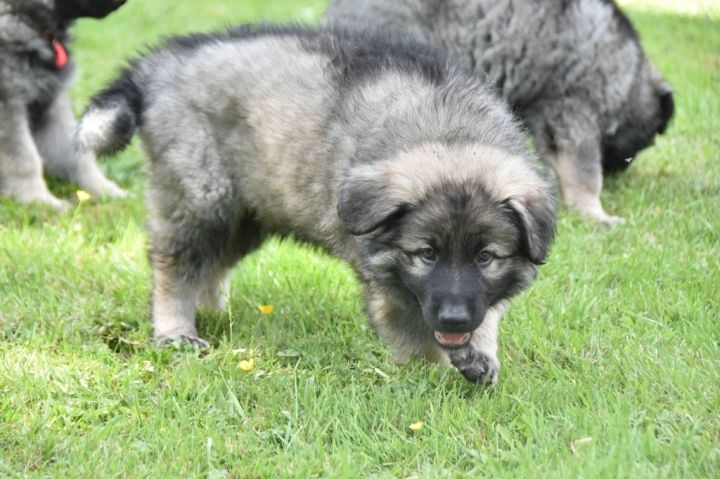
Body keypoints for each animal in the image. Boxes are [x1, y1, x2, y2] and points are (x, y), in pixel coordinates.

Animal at [0, 0, 126, 209]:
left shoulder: (54, 106)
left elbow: (76, 155)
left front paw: (105, 190)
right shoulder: (9, 107)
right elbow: (24, 159)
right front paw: (39, 200)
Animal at [76, 25, 556, 384]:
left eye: (486, 257)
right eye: (426, 254)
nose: (455, 319)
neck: (449, 132)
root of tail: (156, 66)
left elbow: (488, 309)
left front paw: (480, 354)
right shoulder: (385, 283)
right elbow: (416, 339)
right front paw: (431, 374)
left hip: (248, 212)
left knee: (211, 264)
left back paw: (211, 312)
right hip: (201, 197)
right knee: (174, 266)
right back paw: (176, 331)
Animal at [325, 0, 675, 224]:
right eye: (644, 144)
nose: (622, 171)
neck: (630, 79)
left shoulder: (549, 119)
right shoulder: (575, 111)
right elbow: (585, 173)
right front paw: (595, 212)